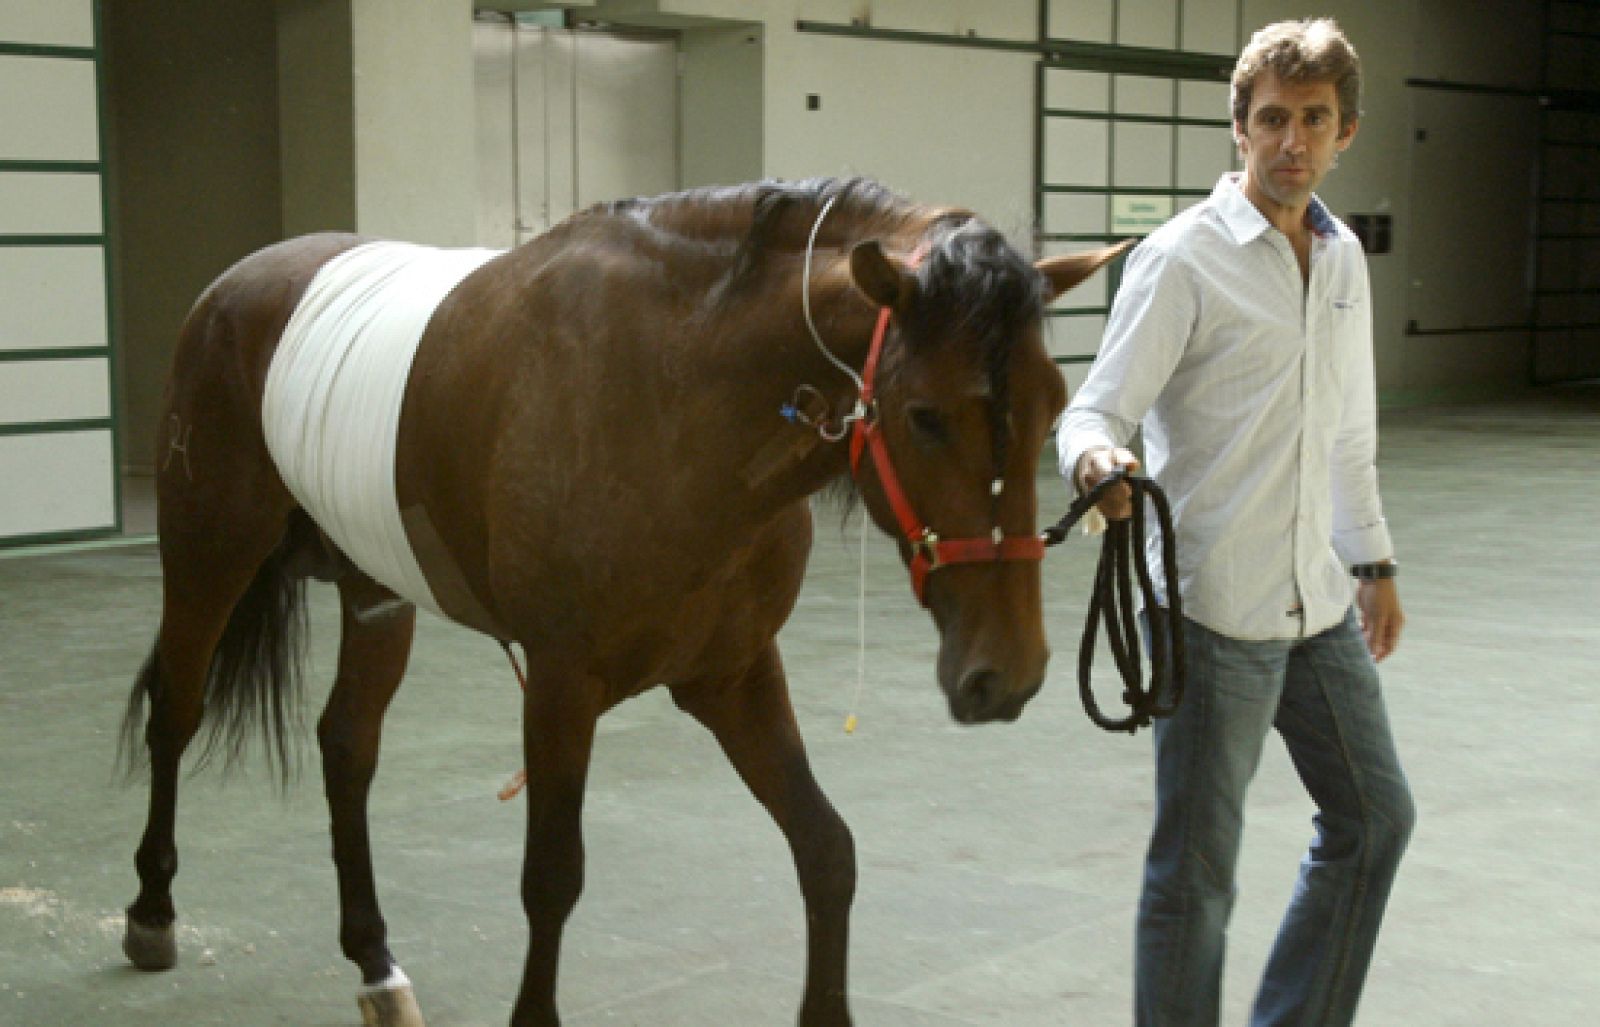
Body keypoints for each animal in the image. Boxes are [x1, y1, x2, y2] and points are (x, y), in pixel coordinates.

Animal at [116, 176, 1127, 1025]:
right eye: (924, 415)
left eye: (1054, 405)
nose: (1007, 673)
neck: (676, 396)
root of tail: (234, 285)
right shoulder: (563, 682)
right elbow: (552, 878)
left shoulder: (733, 675)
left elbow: (826, 849)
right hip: (208, 554)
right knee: (177, 709)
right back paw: (152, 909)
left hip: (376, 587)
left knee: (346, 746)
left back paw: (374, 959)